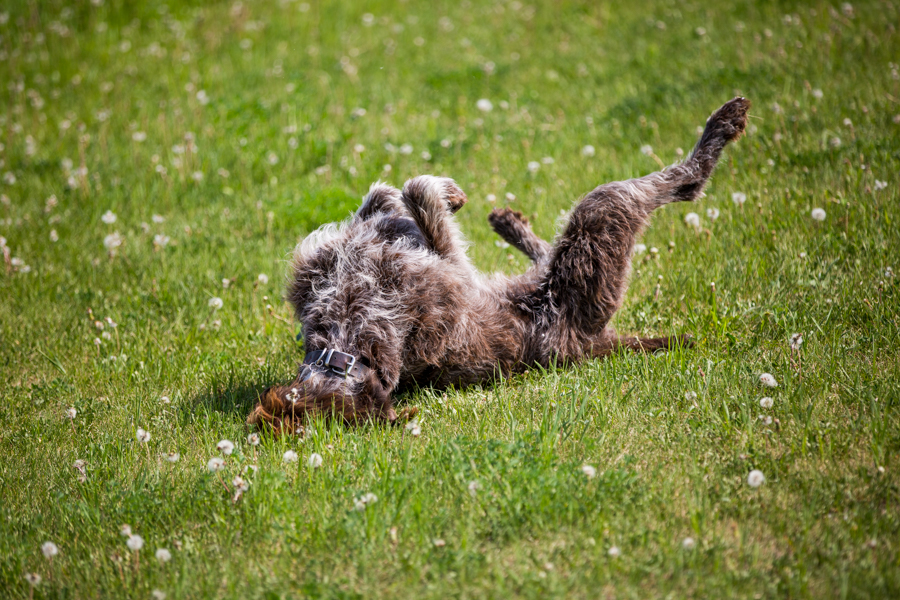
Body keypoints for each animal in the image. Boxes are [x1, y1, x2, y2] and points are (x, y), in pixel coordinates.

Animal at [250, 97, 748, 432]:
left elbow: (387, 201)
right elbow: (419, 193)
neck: (347, 336)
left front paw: (394, 205)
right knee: (679, 184)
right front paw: (435, 196)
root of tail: (592, 346)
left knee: (541, 250)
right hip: (598, 226)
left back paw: (510, 224)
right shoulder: (450, 269)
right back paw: (721, 127)